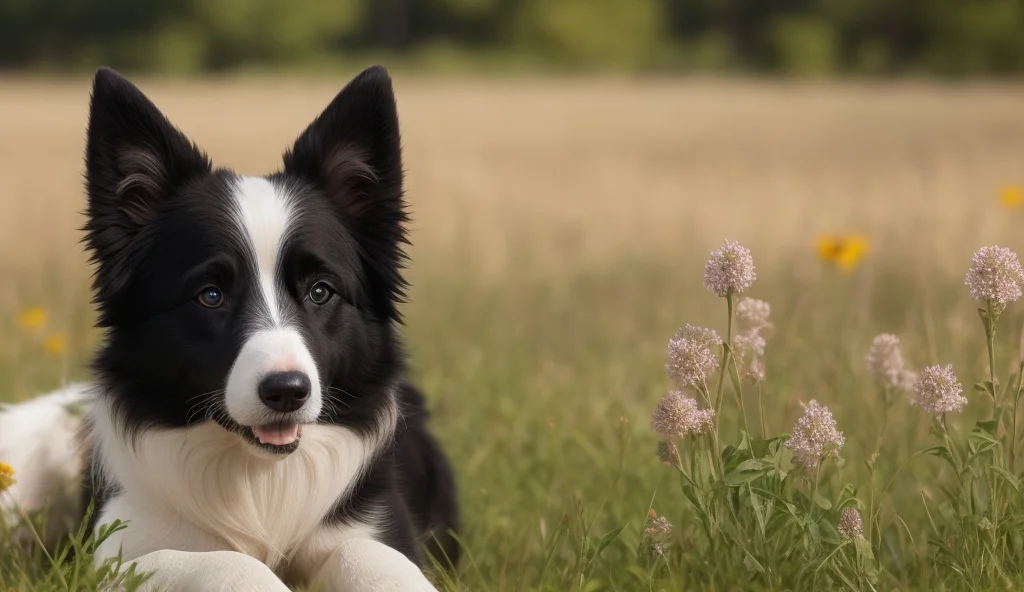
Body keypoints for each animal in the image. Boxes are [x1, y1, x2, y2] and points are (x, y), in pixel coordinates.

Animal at [0, 66, 458, 585]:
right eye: (210, 295)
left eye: (321, 291)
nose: (287, 391)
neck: (258, 479)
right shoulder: (114, 550)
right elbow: (229, 561)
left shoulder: (377, 528)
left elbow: (369, 555)